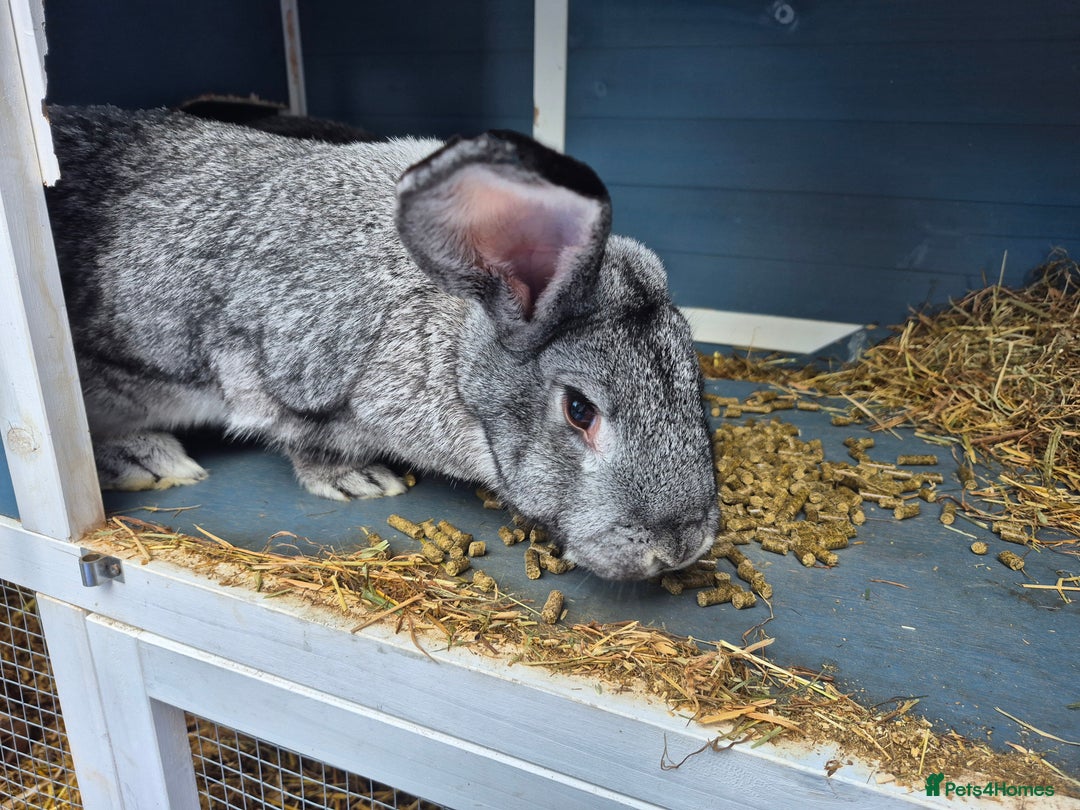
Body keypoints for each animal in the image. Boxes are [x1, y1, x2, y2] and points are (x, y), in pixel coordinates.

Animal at [45, 105, 719, 581]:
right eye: (580, 410)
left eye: (695, 379)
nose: (682, 546)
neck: (453, 347)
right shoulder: (283, 378)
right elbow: (304, 441)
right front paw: (362, 481)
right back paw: (152, 461)